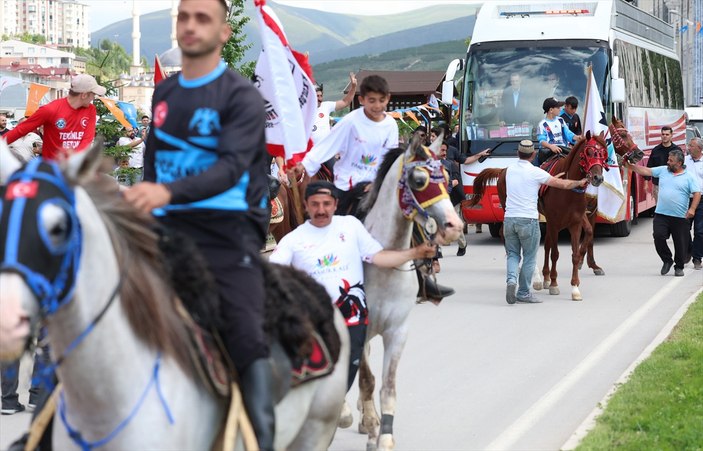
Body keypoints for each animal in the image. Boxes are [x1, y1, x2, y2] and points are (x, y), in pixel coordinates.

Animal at [350, 138, 462, 451]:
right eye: (419, 179)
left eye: (446, 176)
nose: (455, 227)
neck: (383, 259)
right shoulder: (361, 329)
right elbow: (366, 381)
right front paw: (373, 429)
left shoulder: (398, 331)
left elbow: (387, 388)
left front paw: (384, 436)